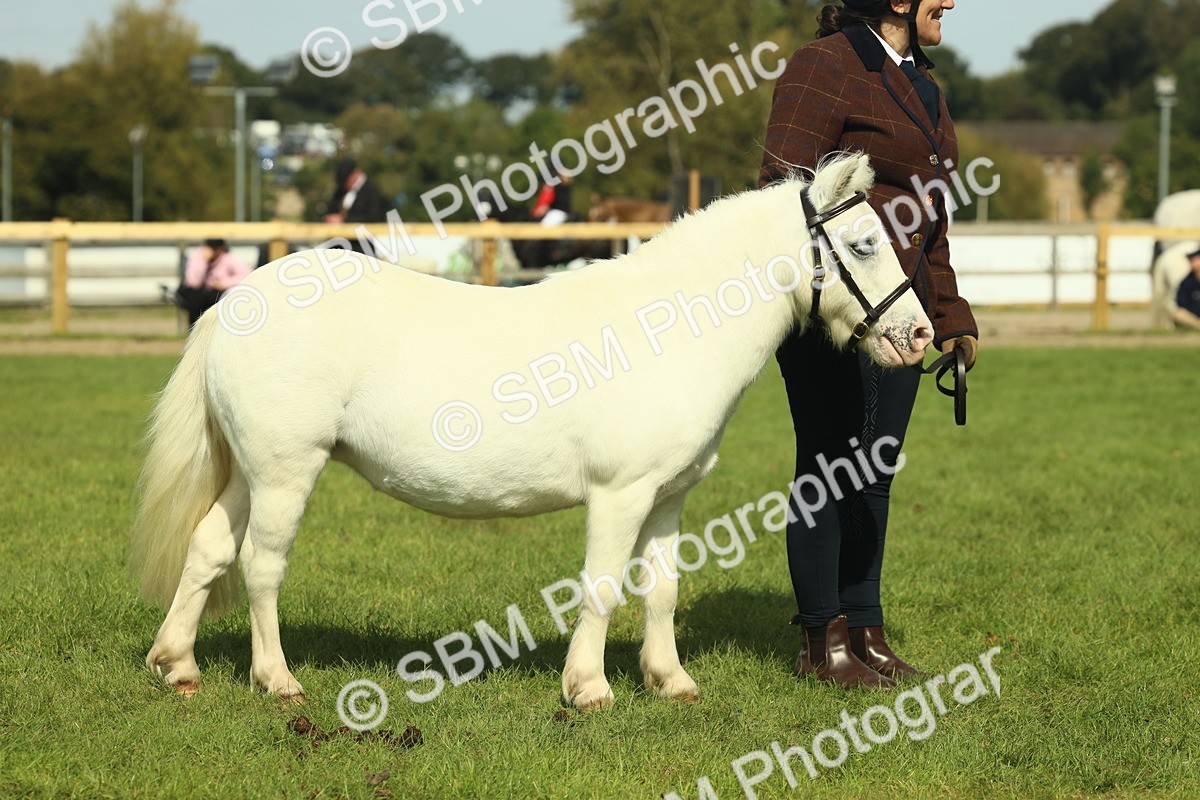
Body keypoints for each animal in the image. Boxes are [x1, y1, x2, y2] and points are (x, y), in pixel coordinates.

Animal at [128, 153, 934, 711]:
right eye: (865, 243)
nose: (920, 334)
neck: (665, 329)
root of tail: (236, 302)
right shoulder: (620, 494)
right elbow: (603, 586)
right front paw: (589, 689)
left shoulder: (668, 497)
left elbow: (662, 589)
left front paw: (669, 680)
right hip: (285, 471)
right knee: (261, 567)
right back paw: (277, 679)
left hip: (248, 471)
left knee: (208, 547)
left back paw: (178, 665)